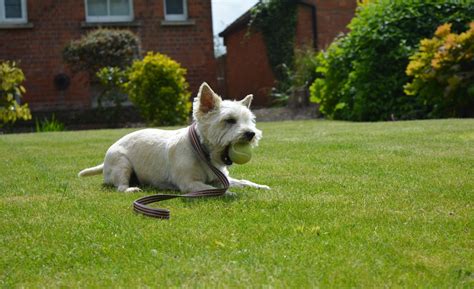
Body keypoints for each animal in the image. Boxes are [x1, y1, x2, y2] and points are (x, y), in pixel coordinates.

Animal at [78, 81, 270, 194]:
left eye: (249, 120)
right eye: (229, 120)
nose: (251, 134)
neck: (203, 153)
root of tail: (104, 163)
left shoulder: (221, 178)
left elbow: (243, 181)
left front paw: (260, 186)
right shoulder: (189, 184)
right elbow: (210, 189)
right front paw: (228, 193)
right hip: (122, 164)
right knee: (120, 186)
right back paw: (131, 189)